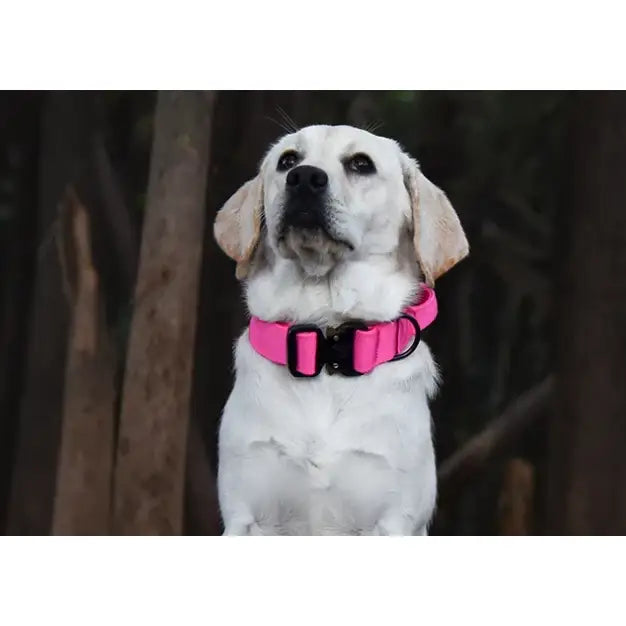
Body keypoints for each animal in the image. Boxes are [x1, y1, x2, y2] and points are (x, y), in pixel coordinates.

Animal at [212, 124, 466, 532]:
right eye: (288, 160)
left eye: (361, 164)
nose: (304, 178)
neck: (325, 342)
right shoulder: (244, 516)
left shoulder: (392, 519)